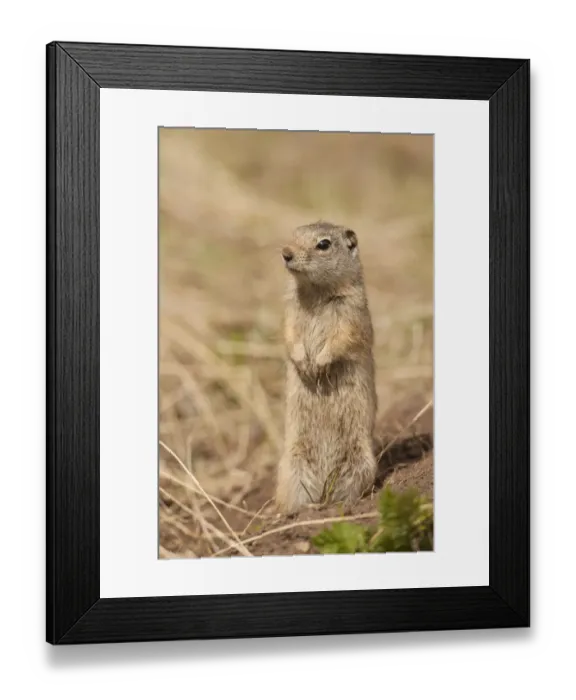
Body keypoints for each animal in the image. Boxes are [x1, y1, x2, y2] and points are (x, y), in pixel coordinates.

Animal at [275, 221, 378, 514]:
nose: (286, 253)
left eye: (324, 244)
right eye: (294, 235)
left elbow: (343, 338)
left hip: (360, 463)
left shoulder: (352, 314)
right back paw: (295, 511)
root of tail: (323, 490)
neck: (315, 292)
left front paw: (319, 364)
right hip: (291, 467)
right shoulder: (289, 312)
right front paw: (304, 363)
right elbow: (290, 335)